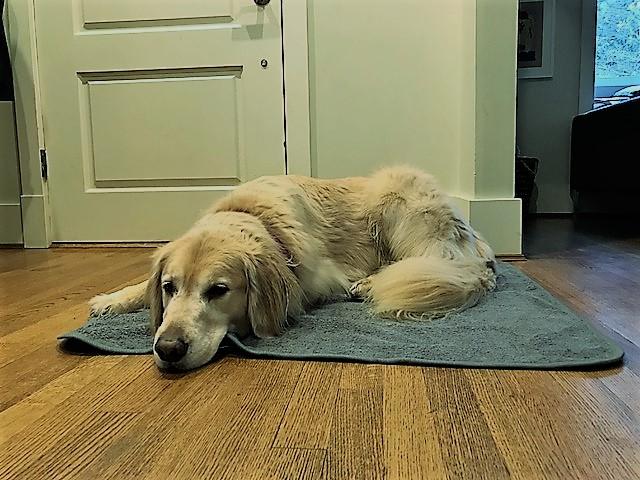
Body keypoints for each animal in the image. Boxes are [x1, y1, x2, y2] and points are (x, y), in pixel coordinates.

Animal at [90, 167, 498, 370]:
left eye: (218, 291)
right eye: (169, 287)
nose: (168, 348)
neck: (256, 217)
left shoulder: (317, 282)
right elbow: (140, 288)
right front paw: (112, 299)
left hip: (398, 199)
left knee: (430, 262)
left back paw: (371, 284)